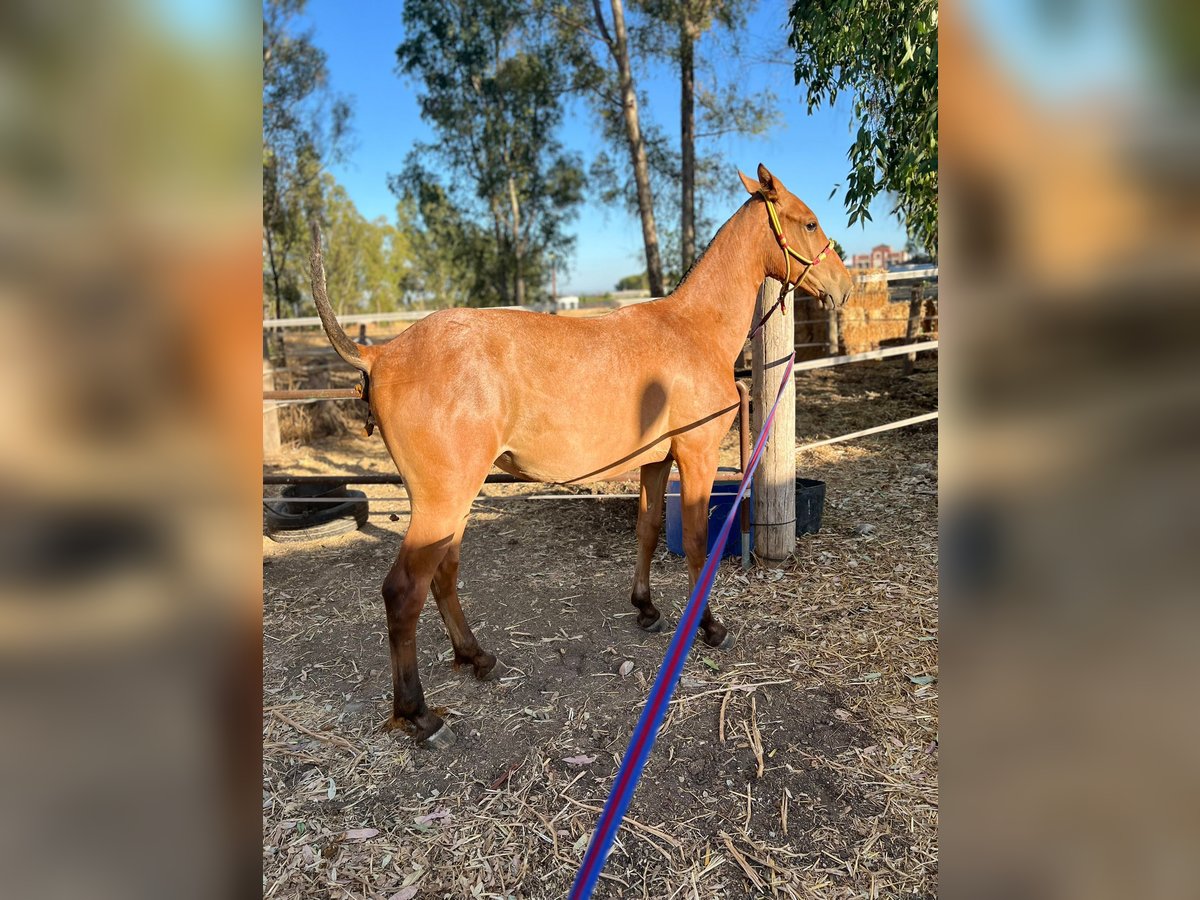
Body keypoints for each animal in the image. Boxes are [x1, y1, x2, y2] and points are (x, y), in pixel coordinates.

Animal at [309, 164, 854, 748]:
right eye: (810, 222)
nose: (844, 287)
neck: (691, 330)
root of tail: (380, 353)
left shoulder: (656, 461)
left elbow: (648, 529)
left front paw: (646, 608)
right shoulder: (698, 455)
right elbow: (697, 544)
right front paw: (709, 626)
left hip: (451, 502)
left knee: (444, 574)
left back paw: (476, 657)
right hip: (442, 498)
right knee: (404, 592)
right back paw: (419, 714)